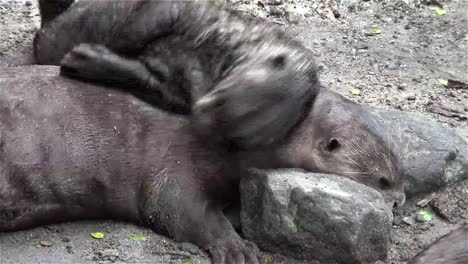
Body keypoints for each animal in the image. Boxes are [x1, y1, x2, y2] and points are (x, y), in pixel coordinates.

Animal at [0, 65, 406, 264]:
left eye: (401, 172)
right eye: (383, 180)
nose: (401, 200)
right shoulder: (173, 159)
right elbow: (178, 208)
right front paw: (236, 247)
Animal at [34, 0, 320, 151]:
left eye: (234, 138)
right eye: (221, 100)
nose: (201, 118)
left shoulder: (179, 90)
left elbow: (152, 81)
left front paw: (84, 60)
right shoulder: (185, 12)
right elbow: (149, 20)